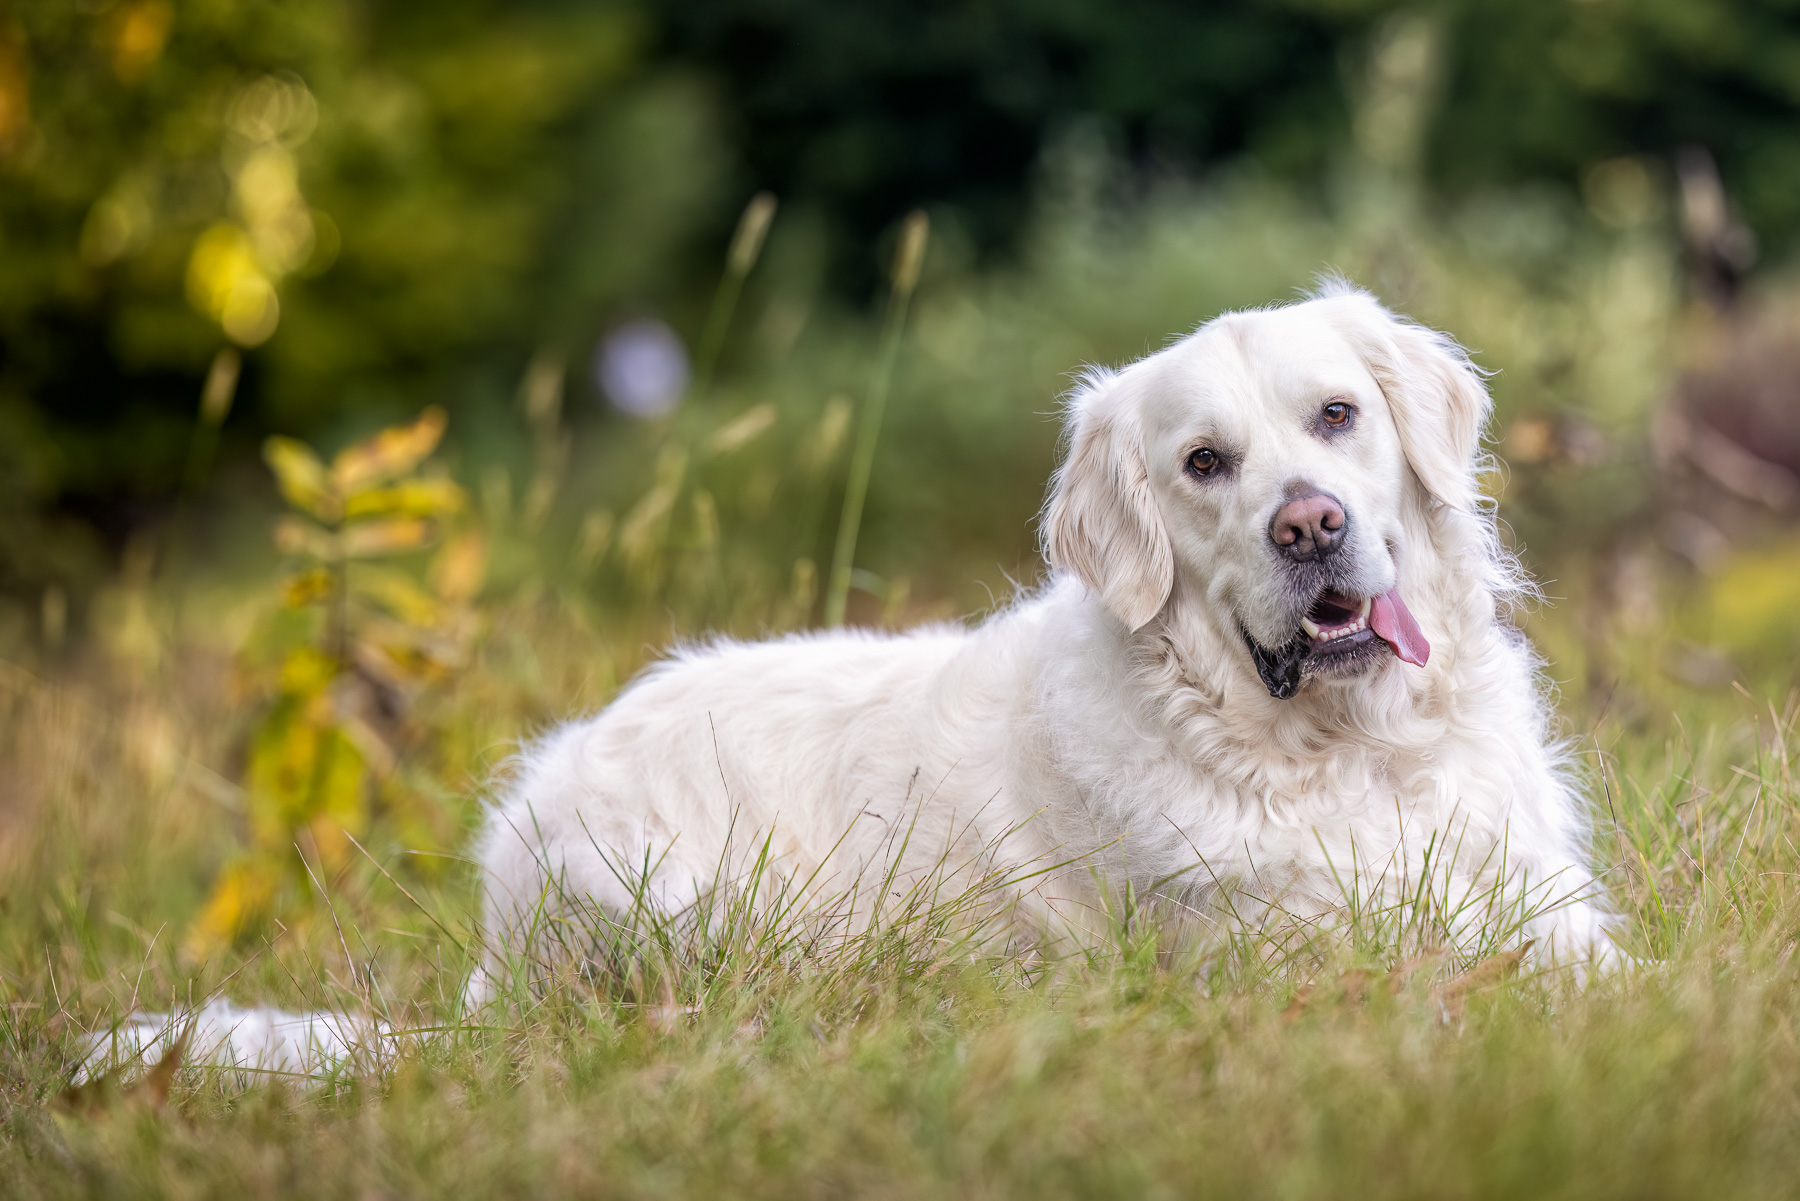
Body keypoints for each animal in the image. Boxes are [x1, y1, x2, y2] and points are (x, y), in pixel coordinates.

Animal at [91, 284, 1627, 1080]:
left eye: (1337, 416)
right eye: (1205, 464)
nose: (1307, 526)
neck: (1350, 750)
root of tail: (492, 956)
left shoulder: (1550, 900)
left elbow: (1604, 967)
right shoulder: (1291, 963)